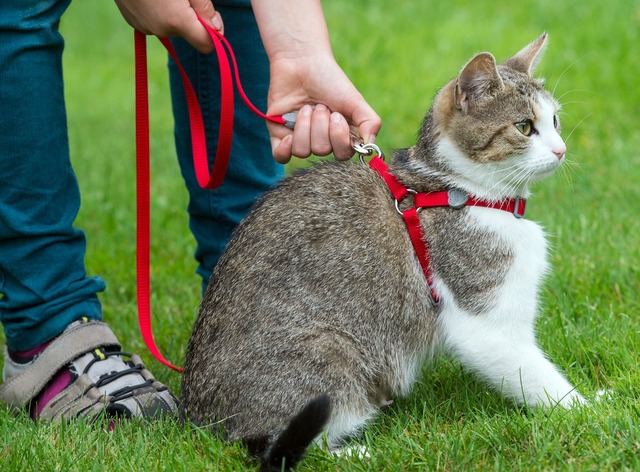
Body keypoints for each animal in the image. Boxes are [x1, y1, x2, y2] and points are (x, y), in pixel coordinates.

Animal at [180, 31, 584, 470]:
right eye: (525, 126)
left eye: (555, 121)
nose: (561, 150)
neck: (460, 191)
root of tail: (196, 419)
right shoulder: (485, 322)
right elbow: (535, 373)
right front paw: (589, 408)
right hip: (332, 355)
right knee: (290, 443)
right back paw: (356, 451)